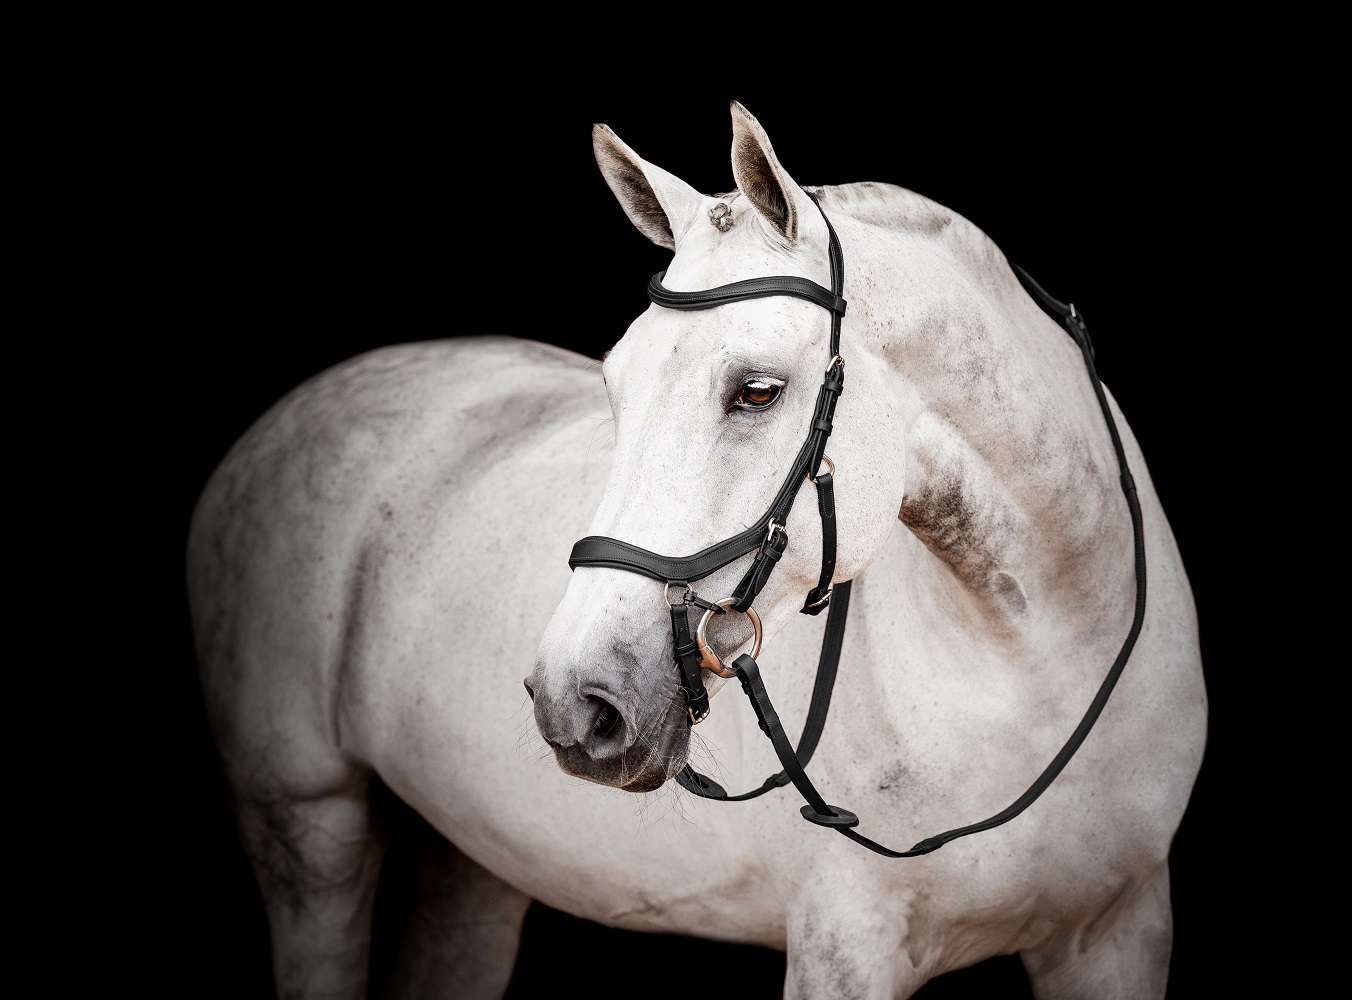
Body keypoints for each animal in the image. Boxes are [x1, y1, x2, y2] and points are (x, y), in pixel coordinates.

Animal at [187, 100, 1207, 999]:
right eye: (613, 381)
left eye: (757, 391)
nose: (576, 700)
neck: (1036, 668)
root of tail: (286, 418)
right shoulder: (846, 946)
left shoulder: (1121, 929)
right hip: (307, 831)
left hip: (473, 860)